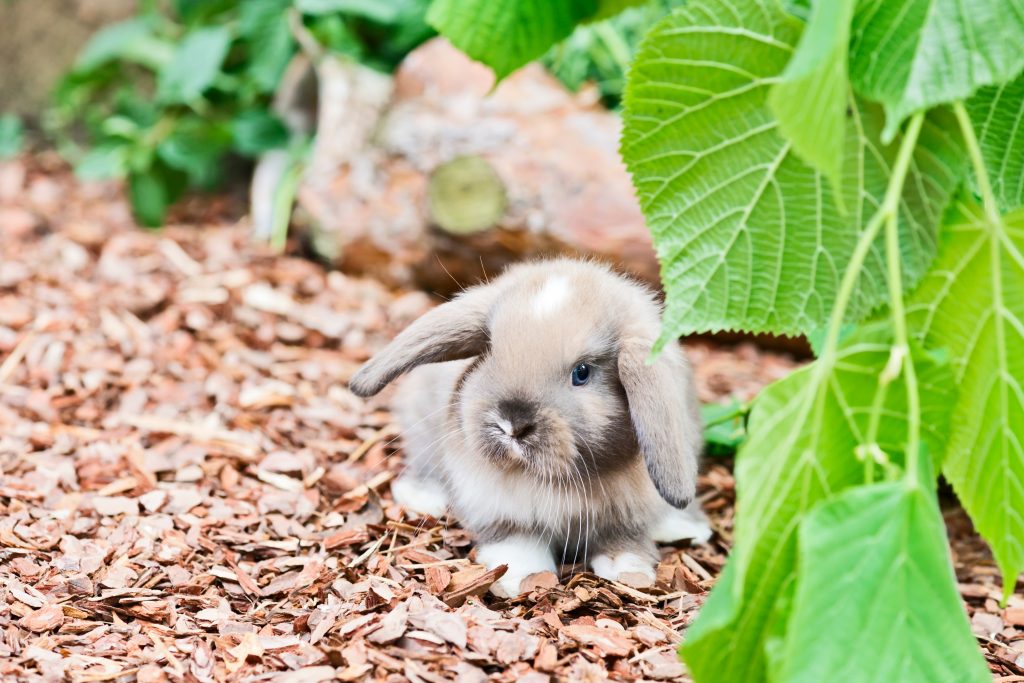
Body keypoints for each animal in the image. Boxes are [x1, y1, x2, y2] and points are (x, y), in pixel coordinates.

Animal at [348, 259, 708, 593]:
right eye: (490, 351)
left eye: (582, 372)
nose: (512, 422)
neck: (551, 481)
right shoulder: (497, 506)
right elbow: (516, 541)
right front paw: (522, 577)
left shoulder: (629, 510)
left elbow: (625, 538)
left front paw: (630, 572)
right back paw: (424, 498)